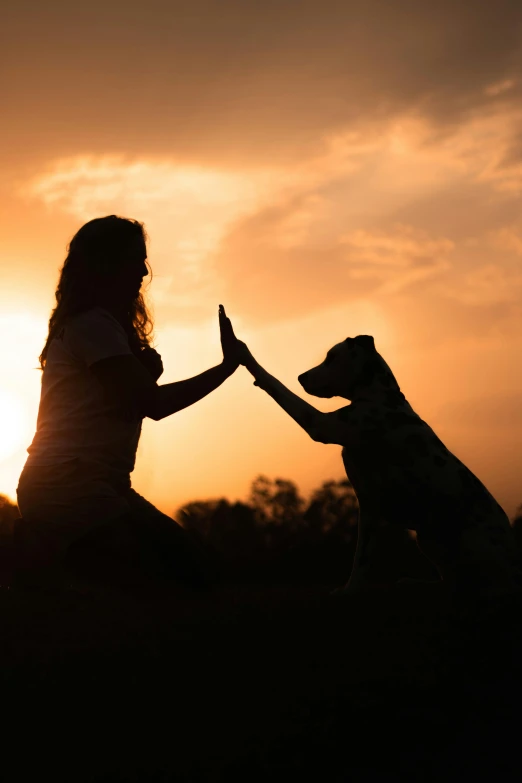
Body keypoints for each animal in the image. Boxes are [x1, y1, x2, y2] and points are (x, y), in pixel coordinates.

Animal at [235, 332, 520, 600]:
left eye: (332, 357)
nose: (301, 377)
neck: (380, 399)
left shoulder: (320, 426)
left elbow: (277, 385)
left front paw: (246, 356)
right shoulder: (368, 505)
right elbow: (362, 556)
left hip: (465, 542)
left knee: (482, 587)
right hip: (428, 539)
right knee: (453, 581)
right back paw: (414, 584)